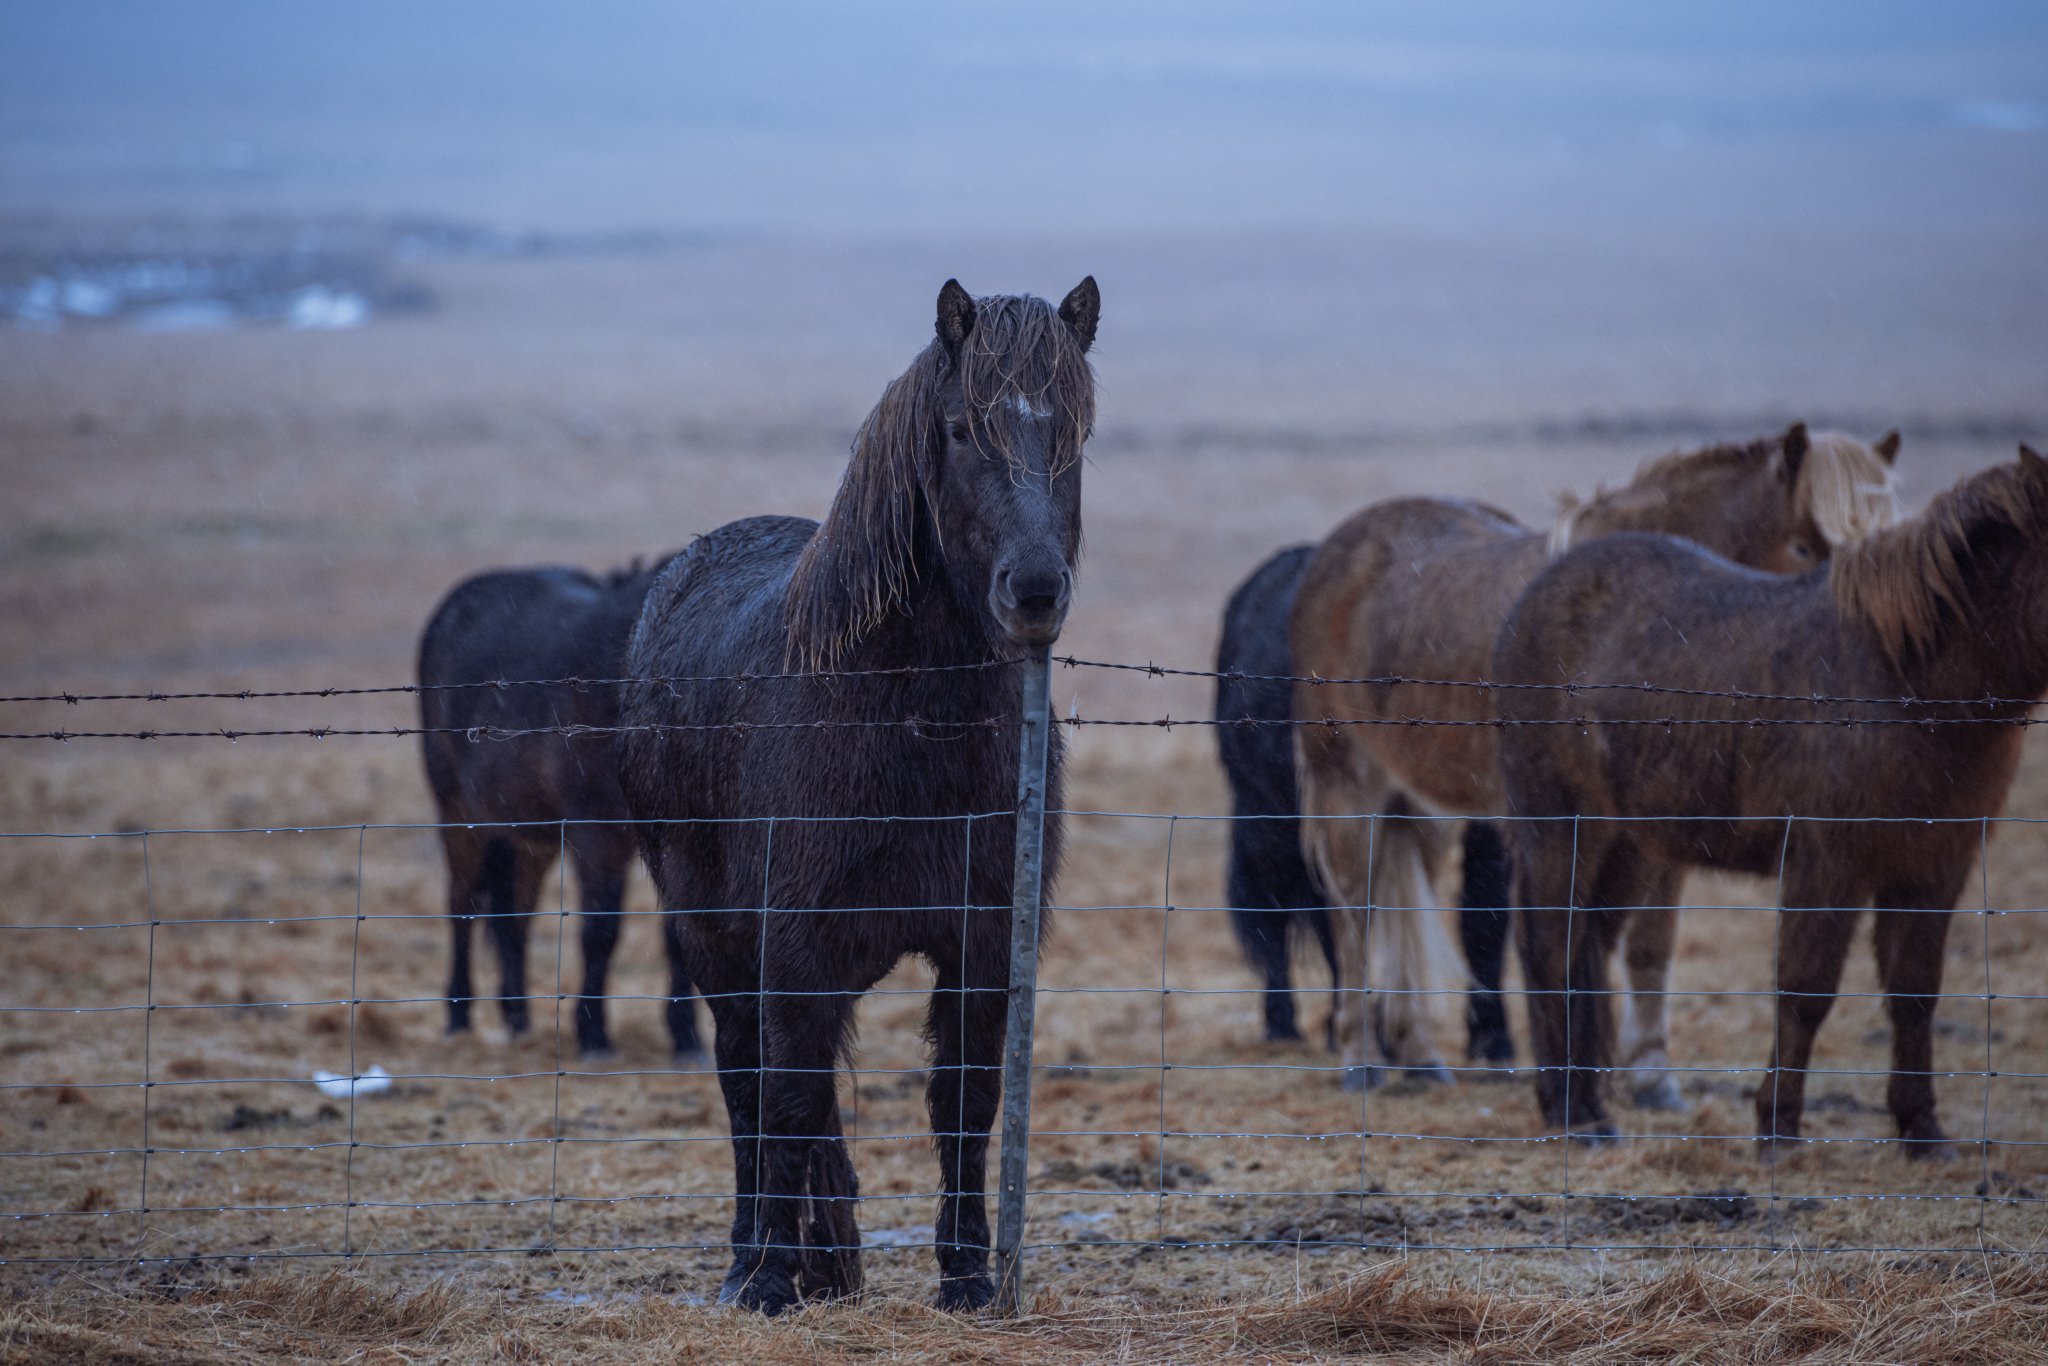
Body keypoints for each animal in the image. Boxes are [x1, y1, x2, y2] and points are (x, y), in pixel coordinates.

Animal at [417, 561, 704, 1064]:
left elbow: (676, 937)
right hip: (459, 813)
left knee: (514, 916)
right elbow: (601, 930)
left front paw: (686, 1038)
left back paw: (518, 1019)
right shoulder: (597, 834)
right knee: (463, 906)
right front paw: (593, 1035)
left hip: (530, 835)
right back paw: (459, 1018)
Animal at [618, 278, 1097, 1310]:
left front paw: (966, 1277)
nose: (1036, 591)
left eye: (1077, 431)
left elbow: (963, 1100)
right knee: (745, 1078)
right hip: (712, 935)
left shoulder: (981, 945)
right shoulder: (795, 948)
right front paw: (765, 1278)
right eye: (959, 429)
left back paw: (826, 1261)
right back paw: (754, 1258)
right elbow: (787, 1095)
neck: (909, 727)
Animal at [1212, 548, 1523, 1064]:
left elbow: (1484, 918)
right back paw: (1285, 1026)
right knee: (1276, 915)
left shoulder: (1490, 824)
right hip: (1267, 817)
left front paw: (1493, 1040)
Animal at [1294, 421, 1900, 1097]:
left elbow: (1649, 943)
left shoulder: (1660, 833)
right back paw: (1361, 1061)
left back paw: (1419, 1054)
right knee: (1353, 913)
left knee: (1394, 903)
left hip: (1424, 804)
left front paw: (1649, 1075)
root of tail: (1338, 551)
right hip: (1347, 783)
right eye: (1802, 546)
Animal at [1490, 448, 2048, 1155]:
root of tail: (1536, 592)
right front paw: (1777, 1128)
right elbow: (1805, 989)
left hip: (1628, 842)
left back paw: (1582, 1103)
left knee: (1586, 946)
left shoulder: (1933, 866)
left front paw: (1921, 1129)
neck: (1905, 676)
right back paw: (1576, 1117)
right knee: (1549, 947)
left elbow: (1915, 993)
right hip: (1557, 823)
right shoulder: (1827, 861)